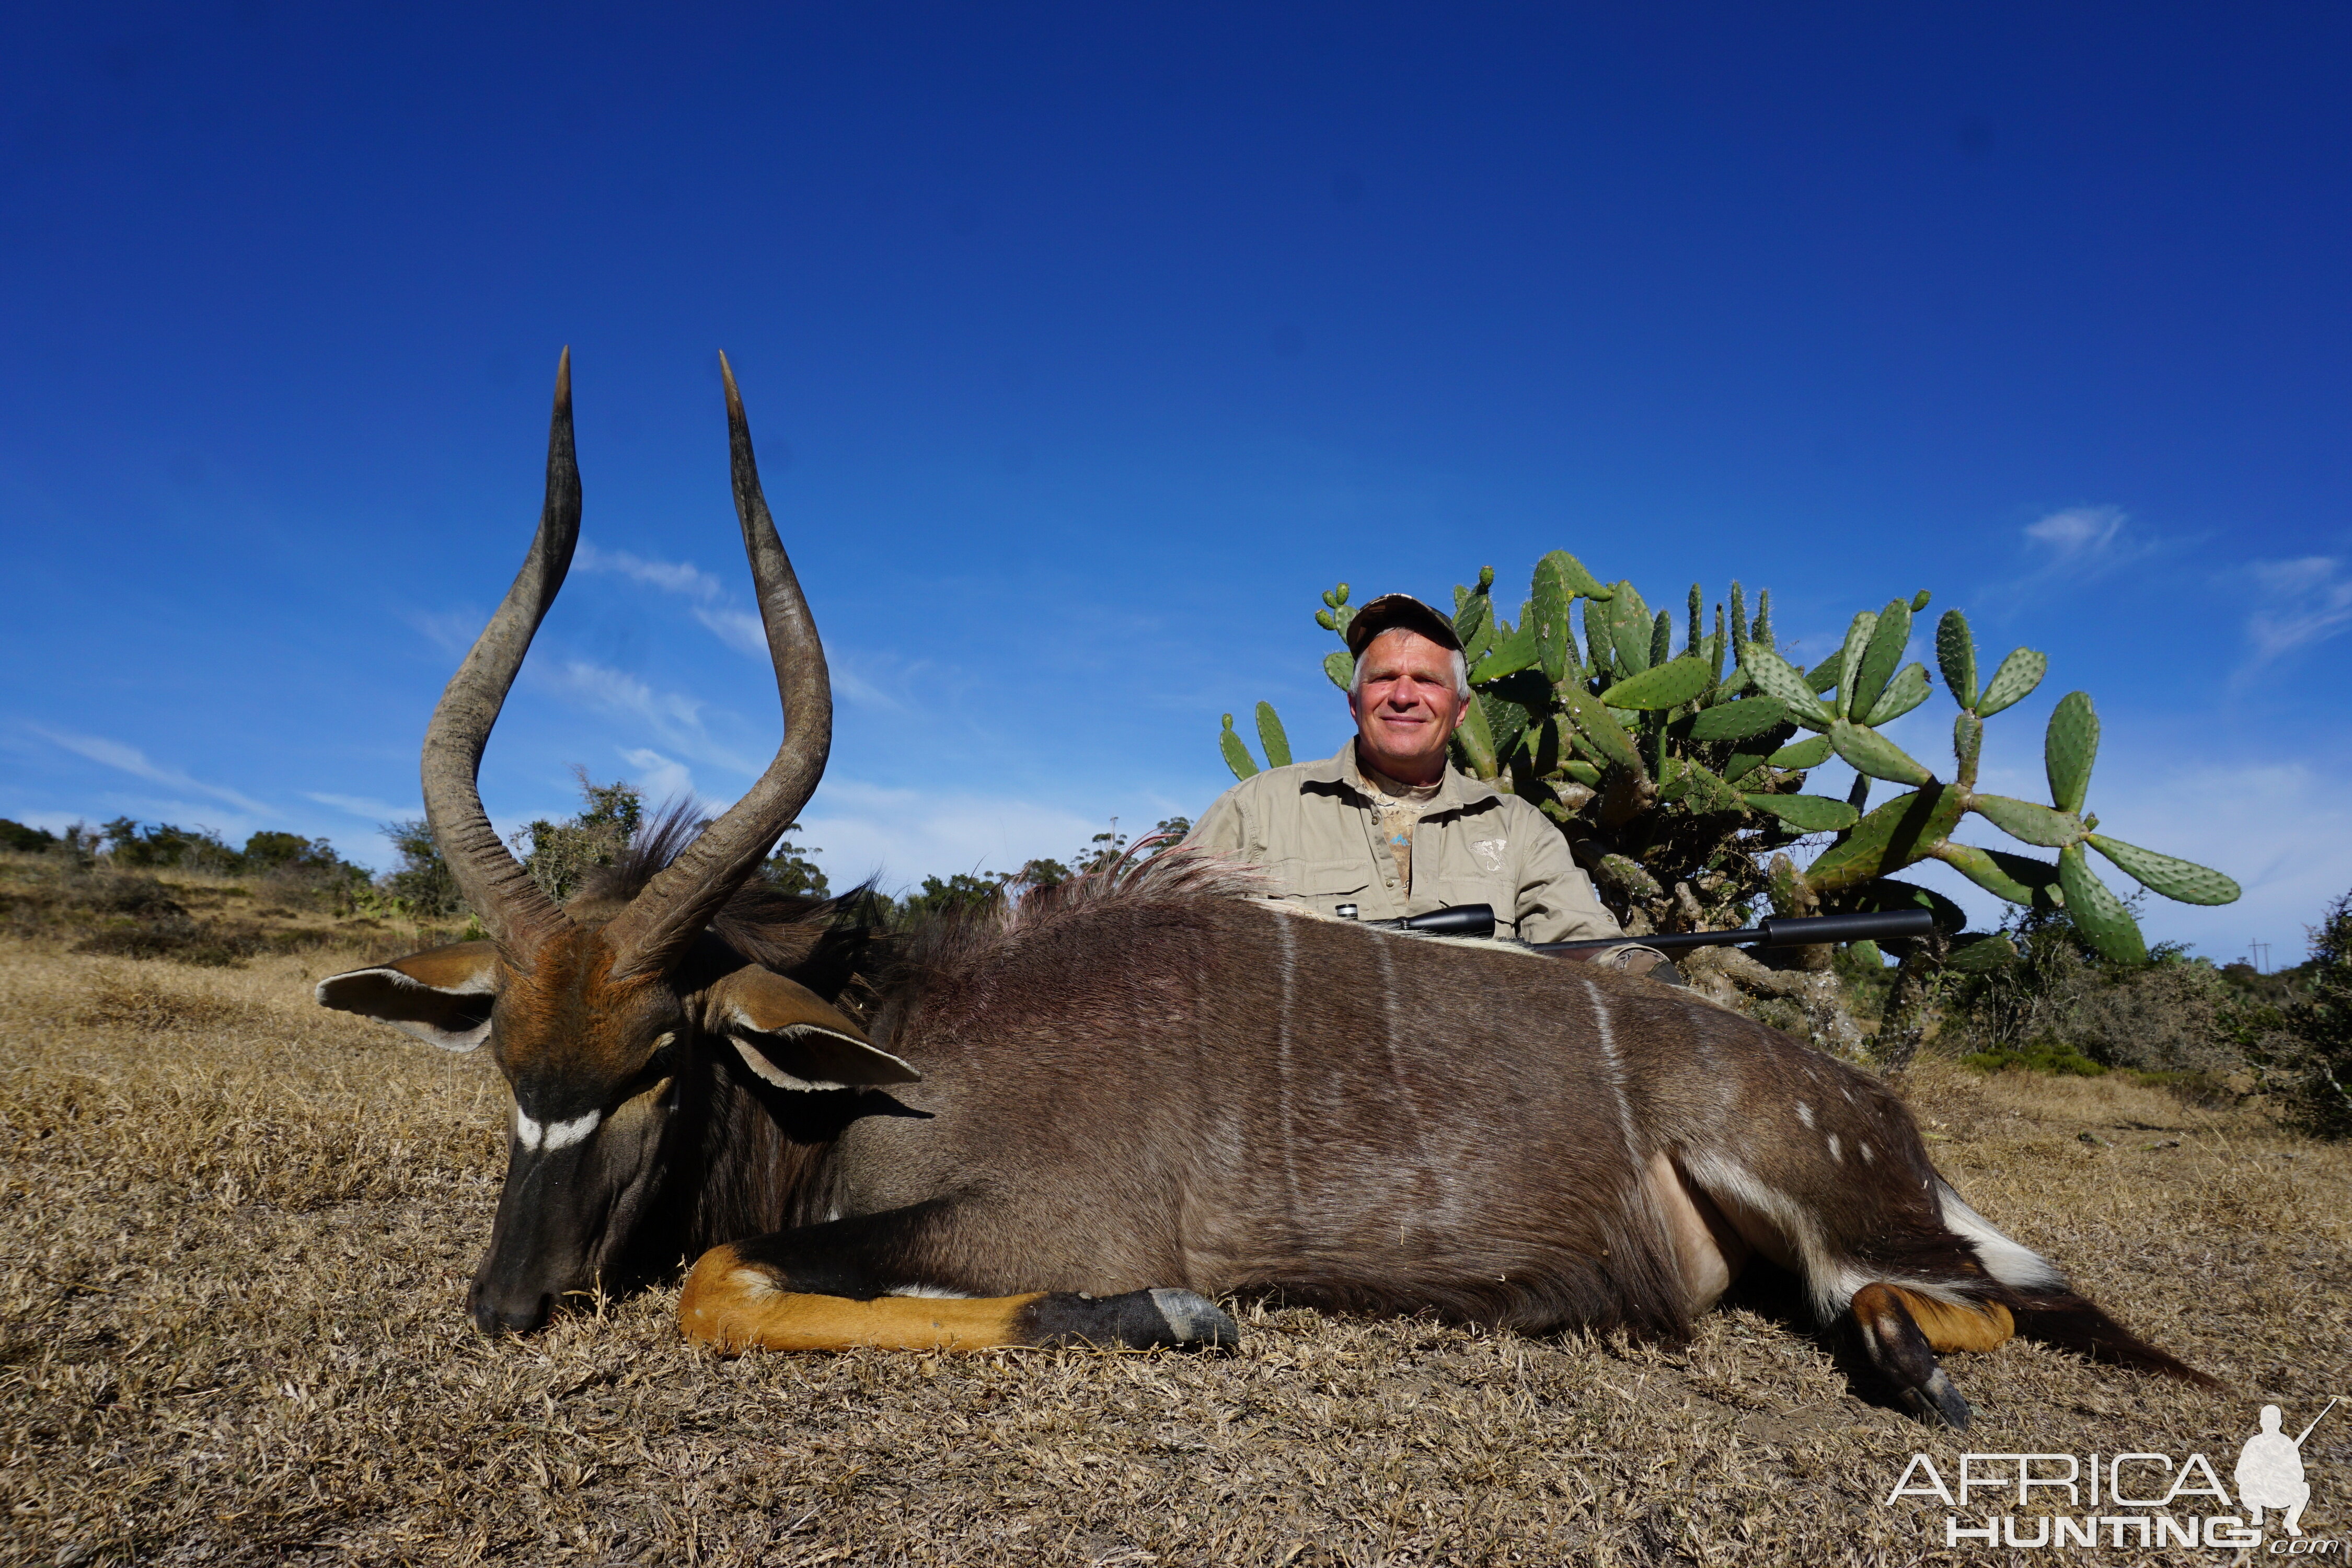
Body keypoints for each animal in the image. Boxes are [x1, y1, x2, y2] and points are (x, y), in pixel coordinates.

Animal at [322, 350, 2211, 1429]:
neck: (901, 1046)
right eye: (510, 1068)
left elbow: (725, 1281)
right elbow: (732, 1278)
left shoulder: (1031, 1223)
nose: (505, 1306)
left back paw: (1902, 1359)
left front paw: (1175, 1318)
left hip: (1836, 1210)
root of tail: (1870, 1111)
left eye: (658, 1063)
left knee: (1968, 1299)